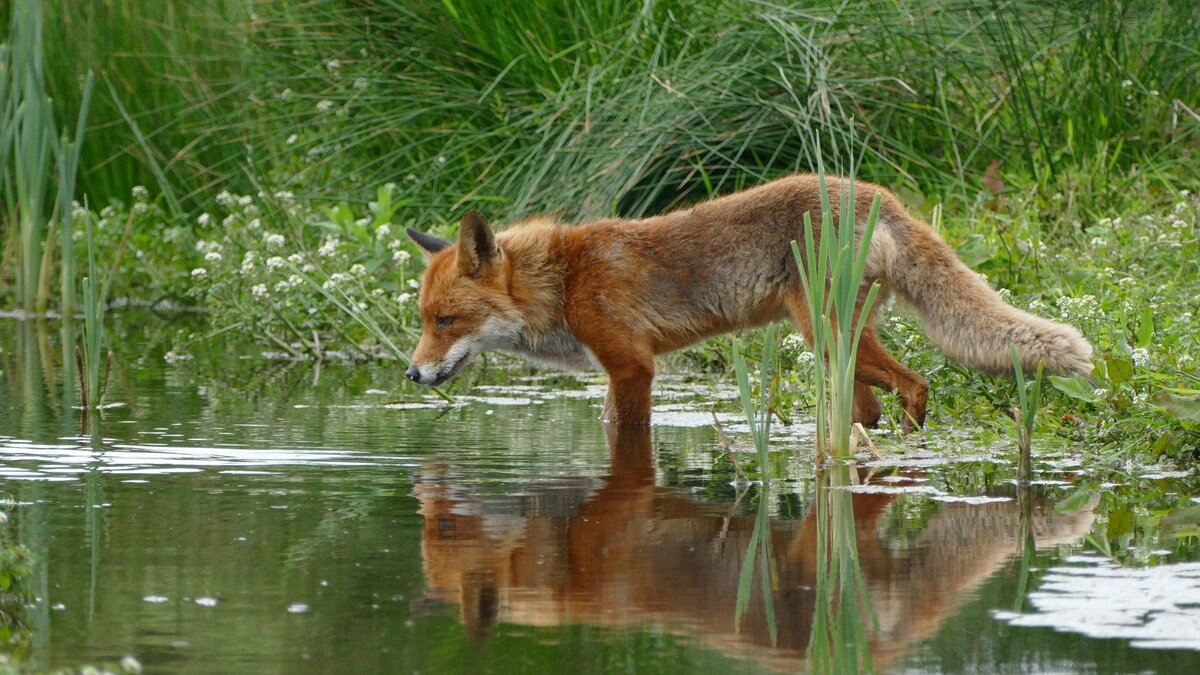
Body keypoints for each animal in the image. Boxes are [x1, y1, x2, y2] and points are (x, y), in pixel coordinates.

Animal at [408, 171, 1094, 425]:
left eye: (447, 320)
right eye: (424, 321)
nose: (411, 374)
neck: (565, 279)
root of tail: (879, 195)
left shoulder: (632, 367)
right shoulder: (620, 369)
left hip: (826, 335)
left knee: (918, 383)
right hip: (840, 348)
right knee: (870, 408)